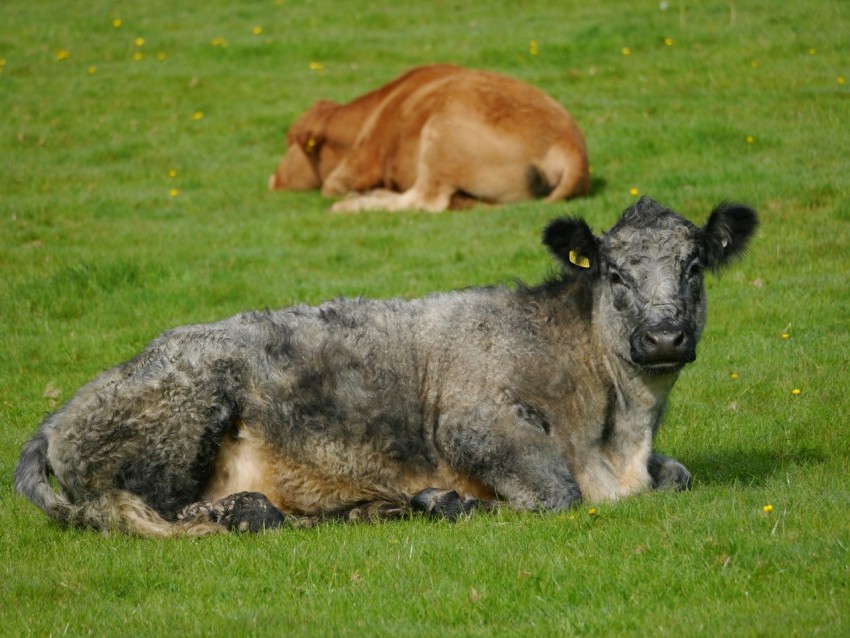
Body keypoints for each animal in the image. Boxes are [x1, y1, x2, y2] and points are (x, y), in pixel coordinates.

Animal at [14, 198, 756, 536]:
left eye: (694, 267)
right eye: (614, 272)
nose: (664, 337)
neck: (617, 430)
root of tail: (61, 413)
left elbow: (679, 475)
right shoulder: (473, 424)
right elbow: (555, 495)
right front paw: (448, 501)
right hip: (188, 413)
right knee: (158, 509)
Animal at [268, 65, 588, 215]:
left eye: (290, 142)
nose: (273, 180)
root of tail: (569, 142)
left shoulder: (356, 166)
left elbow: (331, 186)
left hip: (440, 137)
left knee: (424, 200)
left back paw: (351, 206)